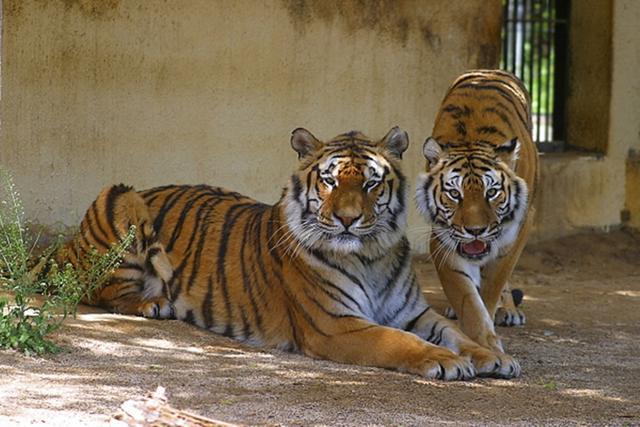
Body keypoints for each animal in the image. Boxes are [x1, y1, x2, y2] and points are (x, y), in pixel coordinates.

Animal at [56, 127, 520, 382]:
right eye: (330, 181)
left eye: (371, 184)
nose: (348, 220)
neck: (371, 255)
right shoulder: (336, 324)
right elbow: (398, 340)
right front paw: (446, 361)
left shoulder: (413, 312)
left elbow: (456, 330)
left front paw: (495, 357)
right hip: (122, 196)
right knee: (98, 289)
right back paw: (152, 304)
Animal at [418, 70, 536, 364]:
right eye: (454, 193)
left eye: (491, 192)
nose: (475, 230)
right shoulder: (443, 238)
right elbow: (468, 298)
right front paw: (484, 343)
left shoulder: (516, 231)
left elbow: (493, 285)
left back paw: (509, 311)